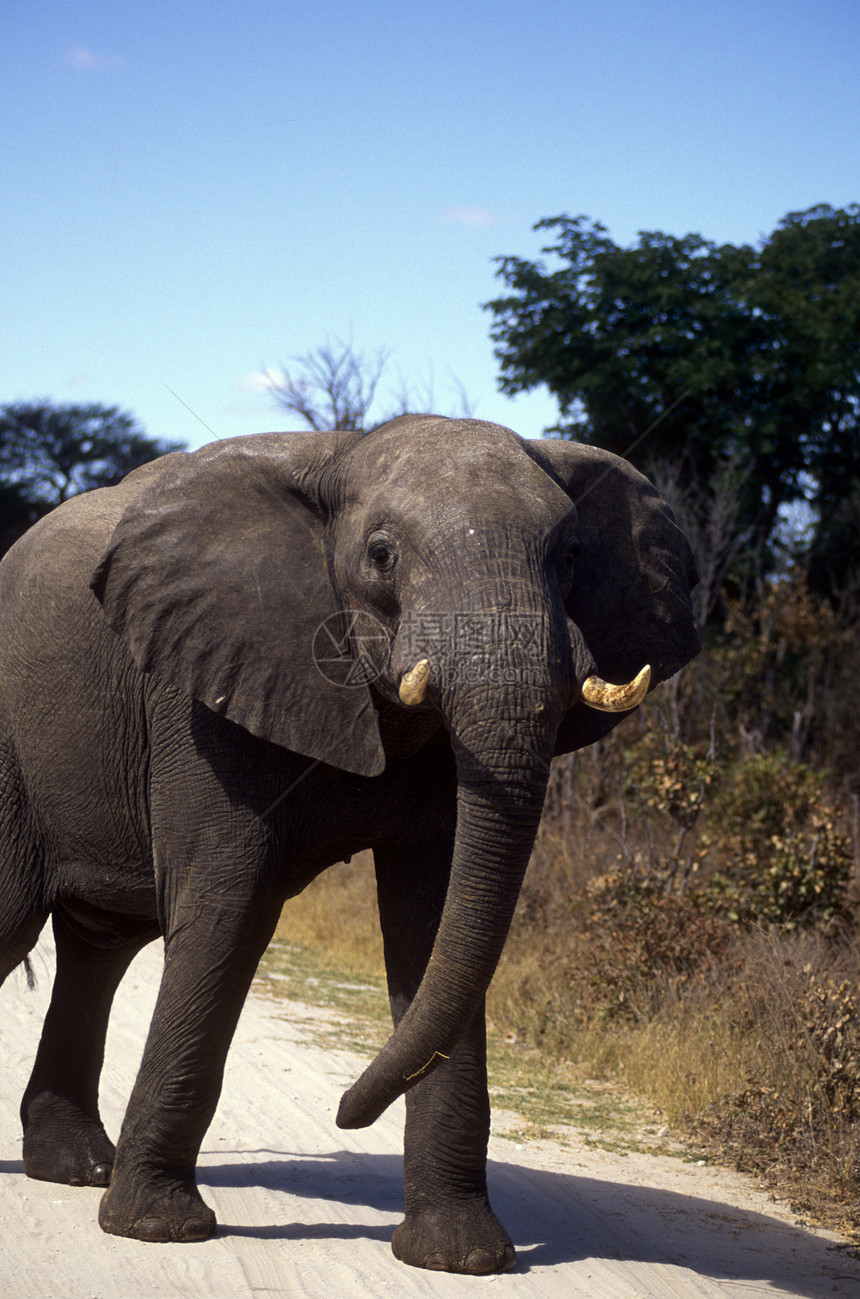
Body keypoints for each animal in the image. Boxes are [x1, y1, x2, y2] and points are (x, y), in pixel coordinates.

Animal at [0, 418, 701, 1278]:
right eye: (382, 554)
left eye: (570, 556)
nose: (343, 1112)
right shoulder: (201, 686)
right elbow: (231, 905)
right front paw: (157, 1228)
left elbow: (436, 924)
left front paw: (459, 1256)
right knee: (17, 922)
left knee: (99, 945)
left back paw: (76, 1168)